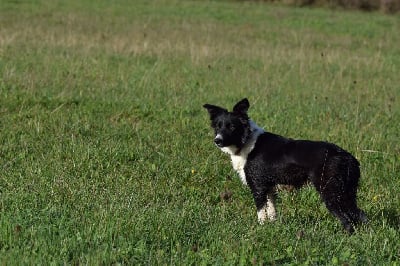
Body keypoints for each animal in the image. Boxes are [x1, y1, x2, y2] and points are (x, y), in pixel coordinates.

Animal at [205, 98, 368, 233]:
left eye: (232, 127)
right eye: (218, 127)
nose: (217, 140)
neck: (246, 141)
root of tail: (347, 156)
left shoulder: (258, 187)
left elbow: (261, 213)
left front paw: (261, 229)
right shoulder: (269, 188)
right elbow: (272, 211)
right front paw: (272, 227)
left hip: (331, 192)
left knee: (347, 220)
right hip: (346, 193)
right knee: (361, 215)